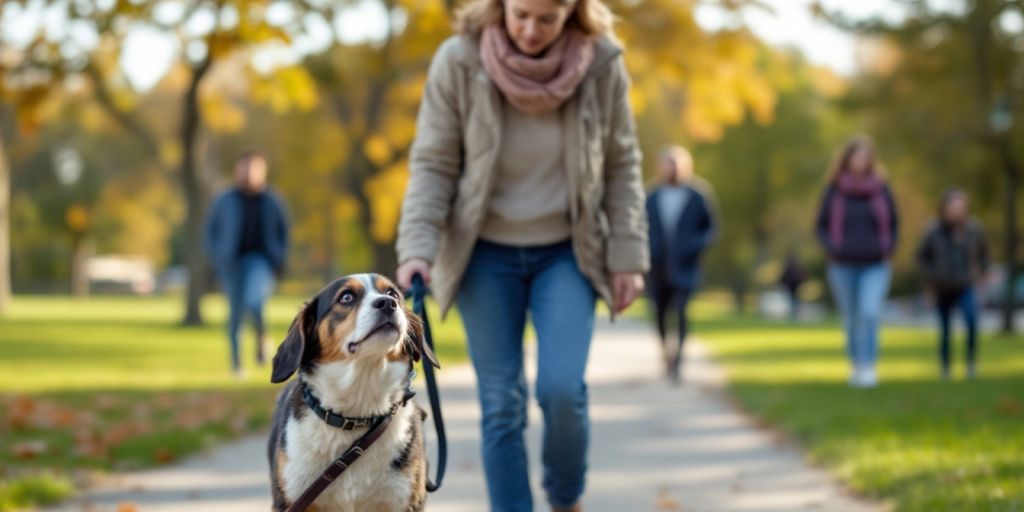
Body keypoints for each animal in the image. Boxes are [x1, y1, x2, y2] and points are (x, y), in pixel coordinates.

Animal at [266, 274, 438, 512]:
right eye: (346, 297)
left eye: (393, 293)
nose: (388, 303)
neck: (356, 415)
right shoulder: (290, 501)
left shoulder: (405, 503)